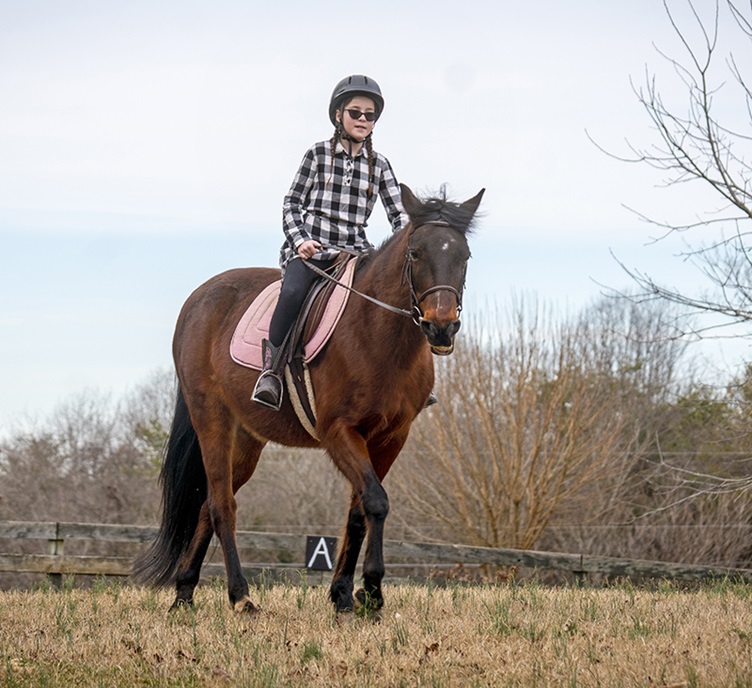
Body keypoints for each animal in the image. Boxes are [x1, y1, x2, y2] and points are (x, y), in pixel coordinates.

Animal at [133, 184, 484, 613]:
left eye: (464, 256)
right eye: (416, 253)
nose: (441, 327)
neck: (378, 336)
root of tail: (198, 299)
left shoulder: (391, 437)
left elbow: (359, 510)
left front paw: (345, 595)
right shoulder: (338, 432)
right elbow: (376, 502)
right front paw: (372, 591)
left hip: (247, 439)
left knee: (207, 505)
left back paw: (184, 593)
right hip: (210, 418)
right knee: (221, 505)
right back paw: (240, 596)